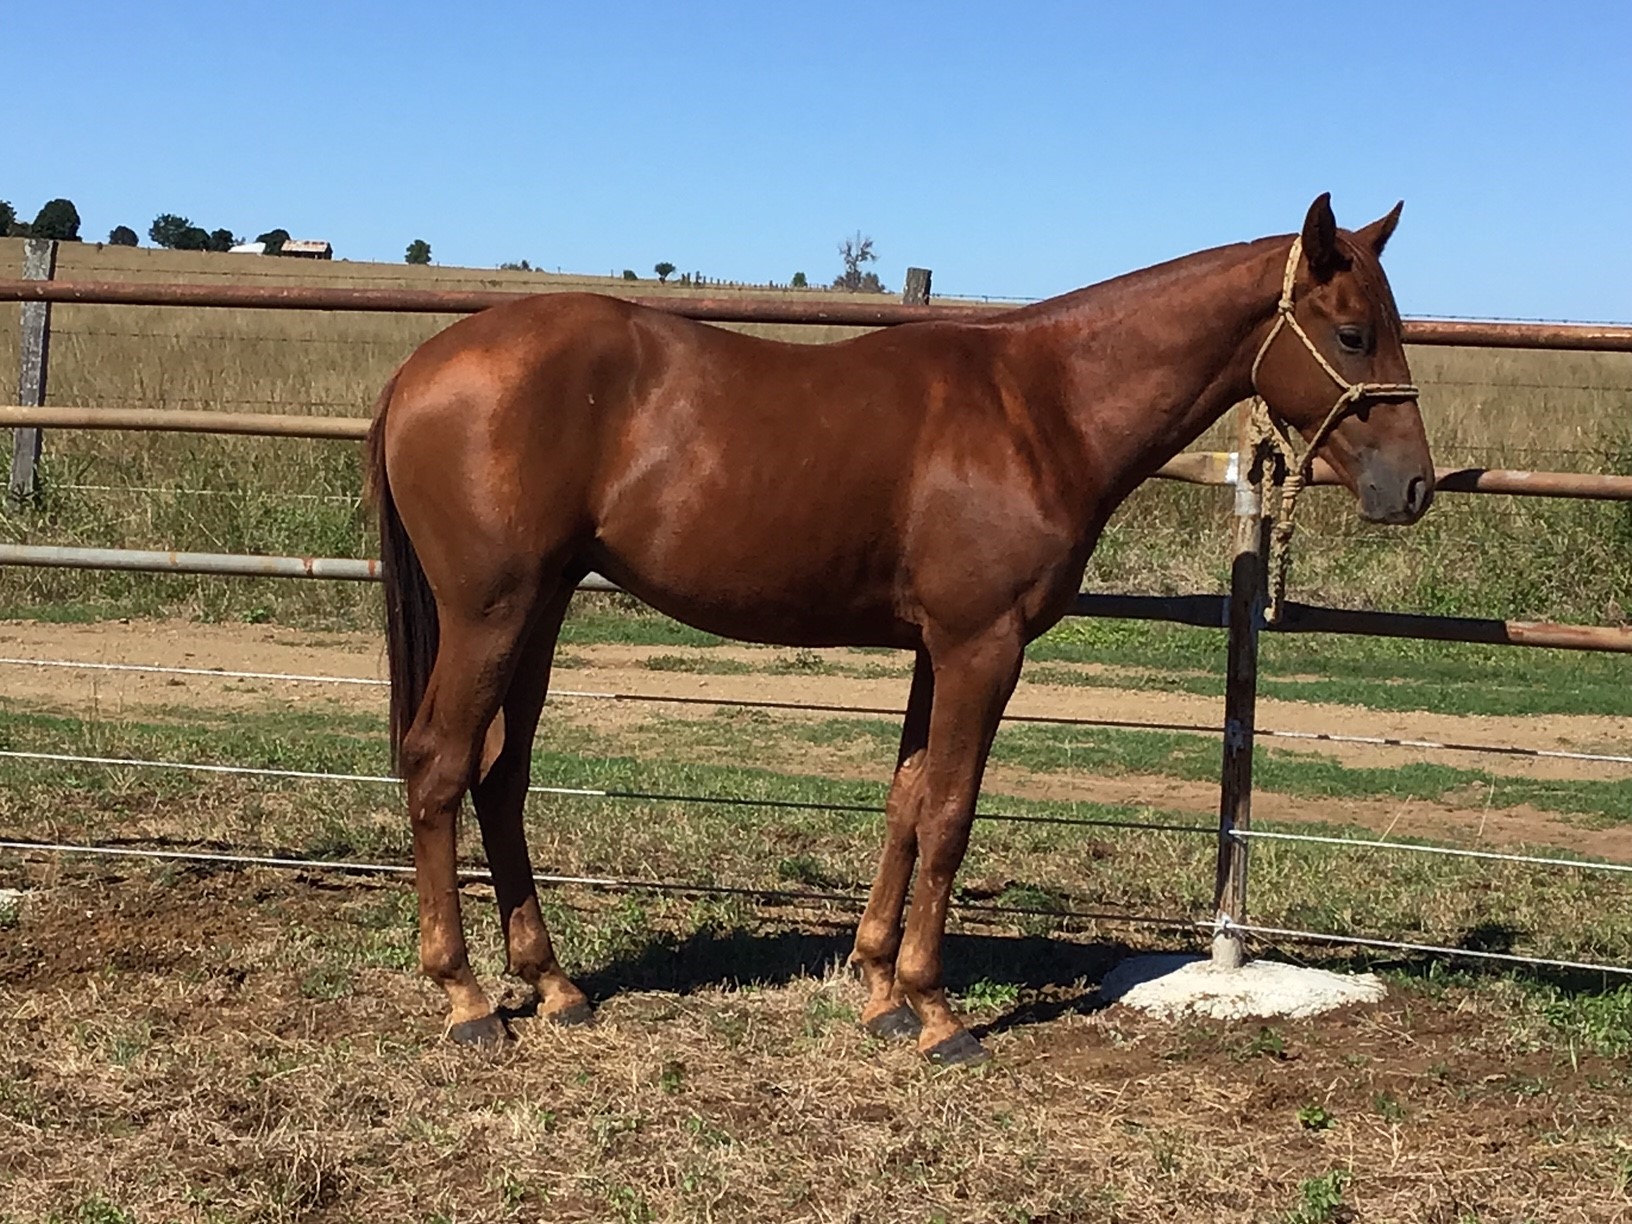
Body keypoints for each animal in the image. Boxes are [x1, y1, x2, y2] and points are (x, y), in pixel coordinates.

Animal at [366, 193, 1433, 1065]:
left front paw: (879, 990)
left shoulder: (936, 649)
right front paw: (937, 1013)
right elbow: (953, 812)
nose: (1414, 487)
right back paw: (465, 997)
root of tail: (420, 368)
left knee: (501, 777)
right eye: (1350, 333)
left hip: (539, 613)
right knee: (440, 765)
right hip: (492, 614)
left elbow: (908, 801)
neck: (1040, 407)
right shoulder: (982, 646)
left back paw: (552, 985)